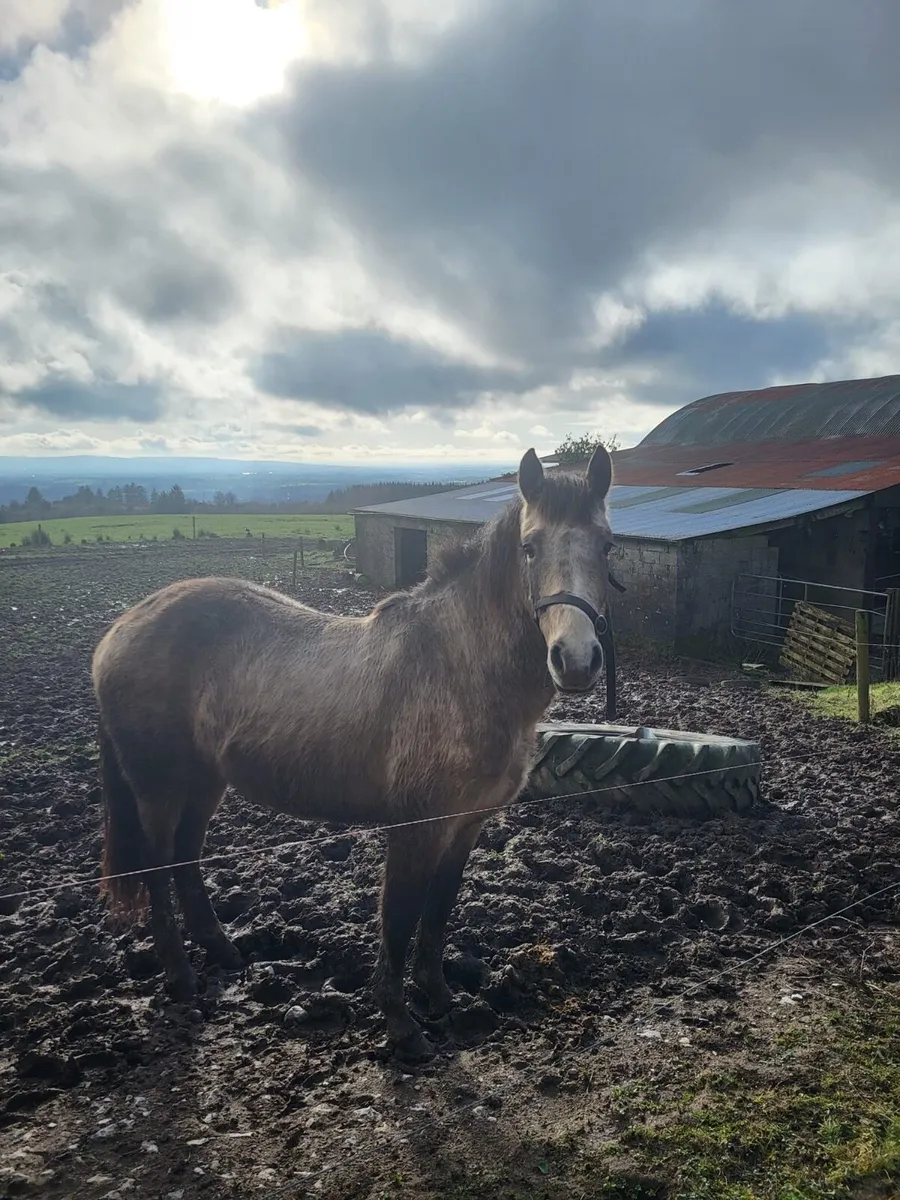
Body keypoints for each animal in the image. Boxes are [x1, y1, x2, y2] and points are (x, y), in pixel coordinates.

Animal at [92, 445, 615, 1060]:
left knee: (186, 859)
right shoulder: (415, 825)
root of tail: (119, 629)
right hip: (158, 788)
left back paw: (224, 953)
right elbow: (399, 917)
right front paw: (402, 1027)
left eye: (607, 546)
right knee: (157, 866)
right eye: (529, 548)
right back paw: (181, 978)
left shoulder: (466, 824)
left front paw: (440, 997)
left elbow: (438, 911)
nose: (575, 660)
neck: (459, 667)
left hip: (205, 783)